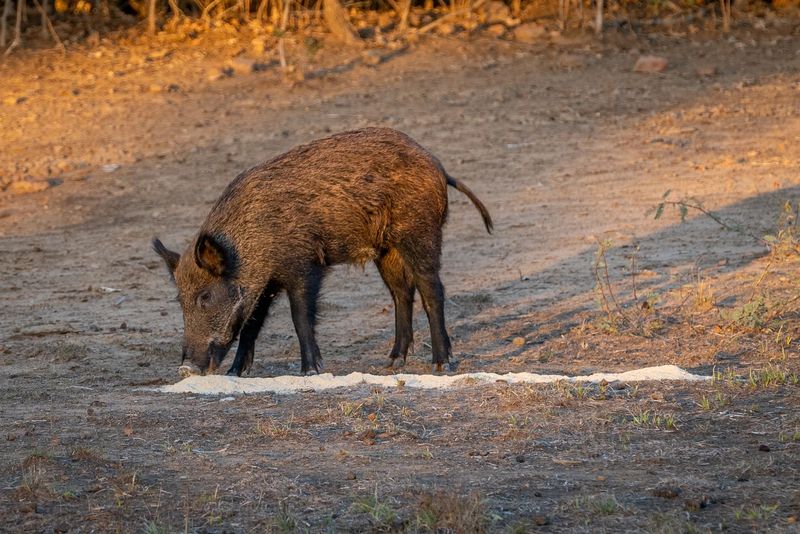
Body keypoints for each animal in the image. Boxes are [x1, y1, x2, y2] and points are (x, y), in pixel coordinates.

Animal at [153, 127, 492, 376]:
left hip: (421, 233)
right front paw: (235, 373)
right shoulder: (264, 286)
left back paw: (441, 363)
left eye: (205, 296)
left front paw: (310, 371)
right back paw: (393, 362)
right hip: (386, 250)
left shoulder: (304, 266)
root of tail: (438, 165)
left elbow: (300, 317)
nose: (186, 367)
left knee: (432, 288)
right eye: (180, 300)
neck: (252, 242)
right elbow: (251, 324)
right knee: (401, 292)